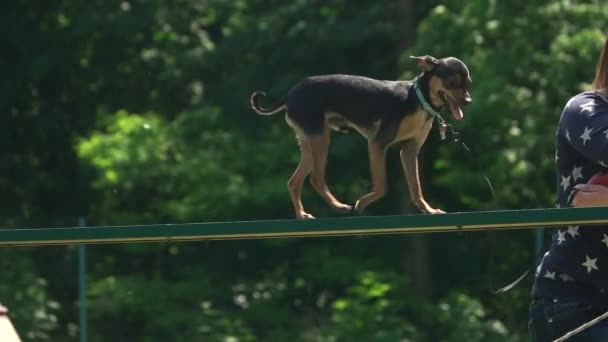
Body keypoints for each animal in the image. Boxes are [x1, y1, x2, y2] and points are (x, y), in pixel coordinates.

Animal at [249, 54, 472, 218]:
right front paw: (361, 202)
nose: (469, 101)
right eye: (452, 82)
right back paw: (339, 206)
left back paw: (302, 215)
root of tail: (288, 95)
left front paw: (428, 210)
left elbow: (416, 188)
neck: (417, 100)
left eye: (468, 83)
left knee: (294, 181)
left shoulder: (409, 150)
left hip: (309, 142)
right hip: (320, 138)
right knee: (316, 179)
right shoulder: (377, 144)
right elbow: (382, 186)